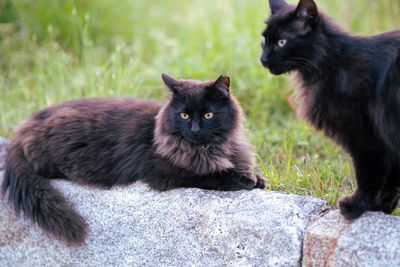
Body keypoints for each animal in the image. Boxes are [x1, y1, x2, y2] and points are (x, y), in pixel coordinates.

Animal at [3, 74, 268, 246]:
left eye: (208, 115)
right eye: (184, 115)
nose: (194, 129)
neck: (210, 148)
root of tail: (24, 127)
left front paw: (258, 177)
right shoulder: (166, 172)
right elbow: (211, 175)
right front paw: (246, 178)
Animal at [260, 0, 400, 220]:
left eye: (282, 42)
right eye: (264, 40)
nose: (263, 59)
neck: (331, 62)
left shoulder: (366, 138)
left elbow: (368, 176)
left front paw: (356, 206)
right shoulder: (385, 140)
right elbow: (391, 180)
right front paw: (382, 207)